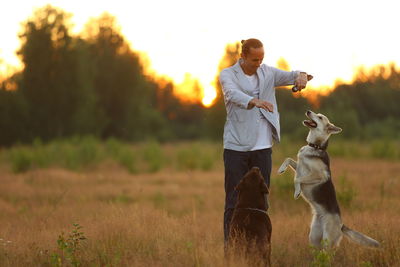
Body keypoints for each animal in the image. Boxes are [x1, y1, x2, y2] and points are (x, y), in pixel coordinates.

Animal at [276, 110, 380, 249]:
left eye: (320, 117)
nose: (308, 111)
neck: (315, 146)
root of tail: (341, 225)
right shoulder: (299, 167)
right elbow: (288, 159)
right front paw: (281, 169)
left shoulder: (319, 175)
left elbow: (297, 180)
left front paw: (297, 192)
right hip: (314, 238)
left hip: (327, 241)